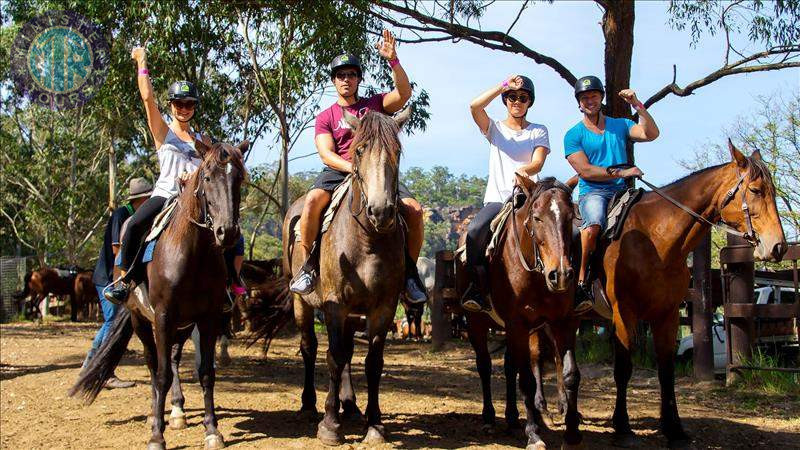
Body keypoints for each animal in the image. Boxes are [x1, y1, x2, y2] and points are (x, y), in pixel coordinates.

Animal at [70, 141, 248, 450]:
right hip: (142, 320)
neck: (193, 253)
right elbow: (161, 374)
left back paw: (177, 411)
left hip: (182, 324)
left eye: (238, 179)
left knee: (173, 360)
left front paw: (212, 430)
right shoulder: (163, 316)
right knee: (154, 366)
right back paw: (159, 414)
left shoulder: (208, 318)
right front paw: (156, 435)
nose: (227, 232)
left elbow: (206, 372)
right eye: (207, 177)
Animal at [456, 177, 580, 450]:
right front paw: (534, 434)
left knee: (510, 365)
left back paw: (512, 418)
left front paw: (572, 434)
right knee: (484, 364)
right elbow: (527, 381)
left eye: (571, 217)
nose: (561, 274)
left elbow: (570, 375)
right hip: (477, 322)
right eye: (537, 217)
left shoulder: (563, 322)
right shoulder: (518, 324)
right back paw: (489, 418)